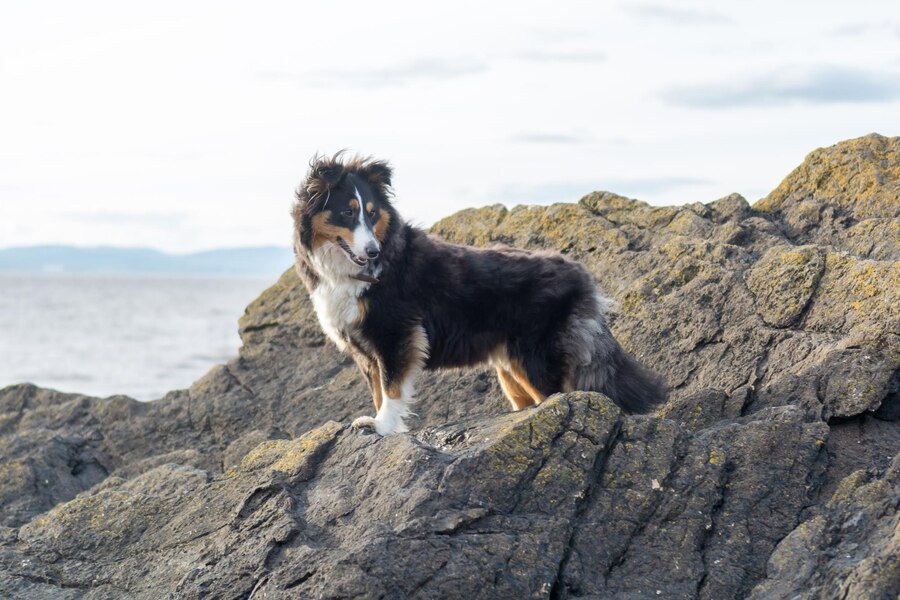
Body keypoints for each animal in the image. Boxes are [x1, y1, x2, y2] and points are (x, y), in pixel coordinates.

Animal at [292, 154, 664, 436]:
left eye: (371, 213)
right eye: (347, 211)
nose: (372, 251)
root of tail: (581, 273)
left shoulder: (395, 334)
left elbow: (392, 388)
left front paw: (382, 426)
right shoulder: (367, 350)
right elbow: (378, 391)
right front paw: (388, 426)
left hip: (536, 359)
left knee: (564, 398)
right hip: (511, 367)